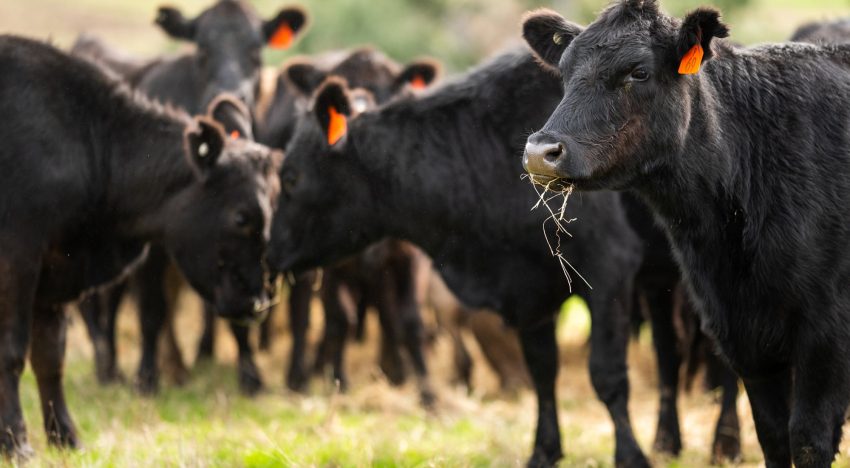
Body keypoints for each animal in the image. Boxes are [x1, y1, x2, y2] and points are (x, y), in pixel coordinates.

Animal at [0, 35, 282, 458]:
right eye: (240, 217)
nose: (258, 302)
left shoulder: (55, 273)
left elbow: (50, 356)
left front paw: (66, 437)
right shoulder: (18, 259)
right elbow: (13, 352)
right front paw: (16, 444)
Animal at [71, 0, 306, 394]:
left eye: (256, 51)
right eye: (202, 50)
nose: (232, 92)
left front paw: (250, 376)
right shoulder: (150, 247)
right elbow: (152, 310)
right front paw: (147, 377)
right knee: (101, 304)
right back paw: (111, 368)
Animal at [268, 49, 644, 466]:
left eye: (290, 177)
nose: (271, 250)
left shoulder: (610, 269)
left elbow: (608, 375)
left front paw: (630, 455)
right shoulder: (531, 290)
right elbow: (543, 371)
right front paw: (544, 450)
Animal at [520, 2, 848, 464]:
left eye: (638, 72)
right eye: (564, 72)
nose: (540, 152)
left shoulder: (825, 332)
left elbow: (807, 439)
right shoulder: (741, 332)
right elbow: (773, 435)